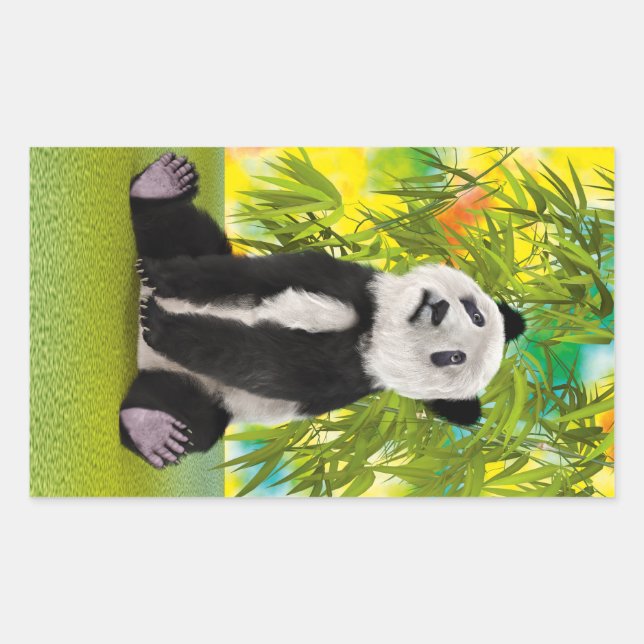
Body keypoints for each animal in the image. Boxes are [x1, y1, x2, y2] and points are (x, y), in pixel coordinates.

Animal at [119, 153, 526, 469]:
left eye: (453, 357)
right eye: (475, 314)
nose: (437, 309)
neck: (375, 324)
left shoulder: (349, 373)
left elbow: (262, 363)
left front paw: (163, 325)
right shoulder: (345, 279)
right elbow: (242, 277)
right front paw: (163, 279)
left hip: (208, 394)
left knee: (193, 421)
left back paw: (154, 431)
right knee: (192, 236)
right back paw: (161, 185)